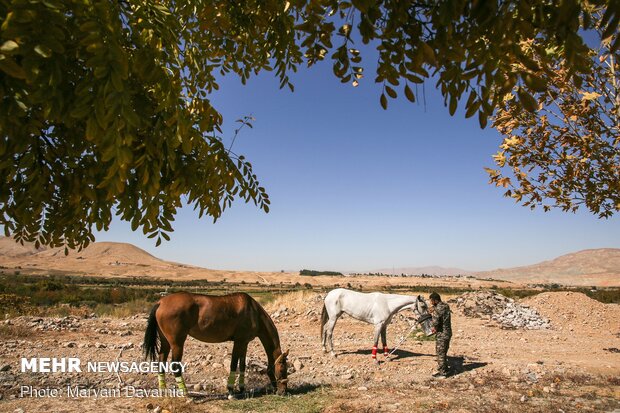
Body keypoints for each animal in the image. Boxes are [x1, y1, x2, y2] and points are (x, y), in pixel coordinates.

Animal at [144, 292, 290, 394]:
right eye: (282, 369)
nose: (283, 391)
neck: (253, 312)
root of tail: (161, 302)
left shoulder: (244, 343)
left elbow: (242, 365)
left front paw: (242, 389)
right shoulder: (239, 342)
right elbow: (233, 364)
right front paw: (231, 391)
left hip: (166, 342)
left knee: (161, 362)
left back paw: (163, 391)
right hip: (177, 344)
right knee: (175, 366)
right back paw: (186, 394)